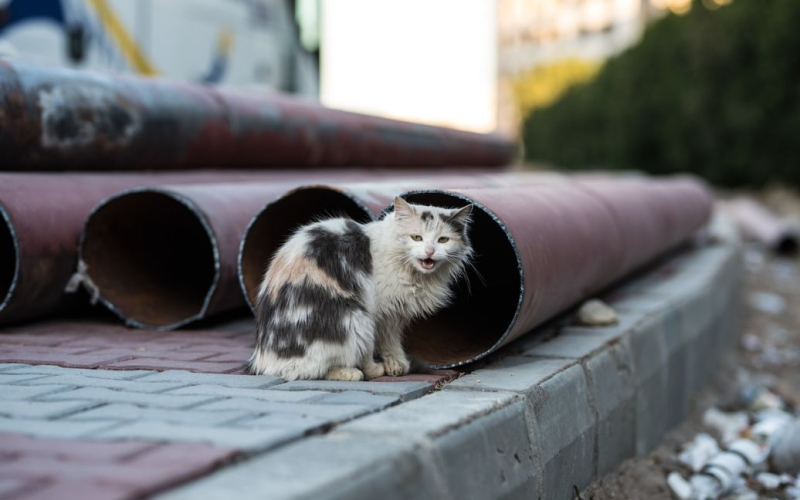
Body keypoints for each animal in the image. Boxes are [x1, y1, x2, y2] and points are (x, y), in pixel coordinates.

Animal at [248, 195, 476, 378]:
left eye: (443, 240)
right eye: (416, 238)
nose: (429, 251)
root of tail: (265, 361)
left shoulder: (393, 315)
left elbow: (391, 341)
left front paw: (397, 364)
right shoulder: (376, 311)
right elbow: (369, 349)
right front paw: (377, 368)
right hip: (354, 318)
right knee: (314, 370)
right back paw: (352, 373)